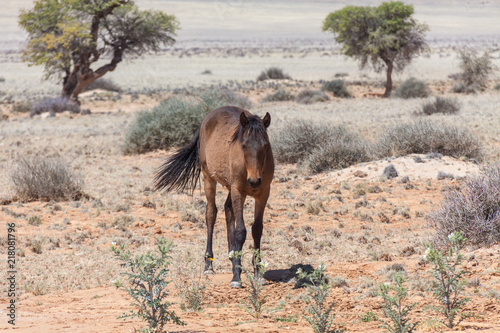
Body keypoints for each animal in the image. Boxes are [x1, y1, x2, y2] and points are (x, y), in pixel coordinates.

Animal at [155, 105, 276, 286]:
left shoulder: (263, 194)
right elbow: (240, 231)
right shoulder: (238, 191)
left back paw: (232, 257)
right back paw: (209, 265)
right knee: (211, 214)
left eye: (265, 145)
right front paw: (236, 277)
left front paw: (257, 273)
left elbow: (257, 229)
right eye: (244, 145)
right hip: (208, 179)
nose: (254, 181)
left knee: (228, 210)